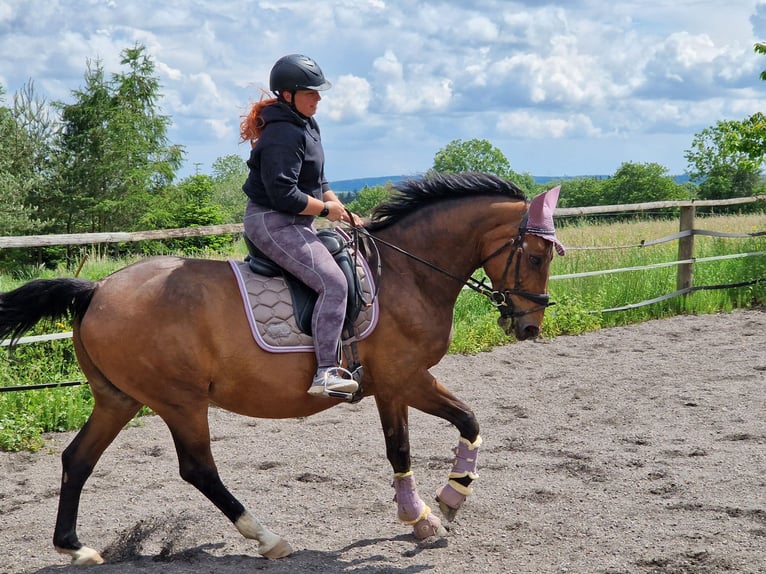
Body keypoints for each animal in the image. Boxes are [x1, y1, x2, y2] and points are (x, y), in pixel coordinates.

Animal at [0, 171, 564, 568]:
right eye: (537, 256)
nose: (529, 326)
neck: (408, 274)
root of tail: (96, 289)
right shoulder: (405, 378)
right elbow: (437, 433)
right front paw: (440, 506)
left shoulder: (395, 386)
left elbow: (434, 435)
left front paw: (433, 511)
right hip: (179, 401)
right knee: (198, 469)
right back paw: (268, 538)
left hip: (119, 399)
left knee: (77, 459)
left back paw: (76, 548)